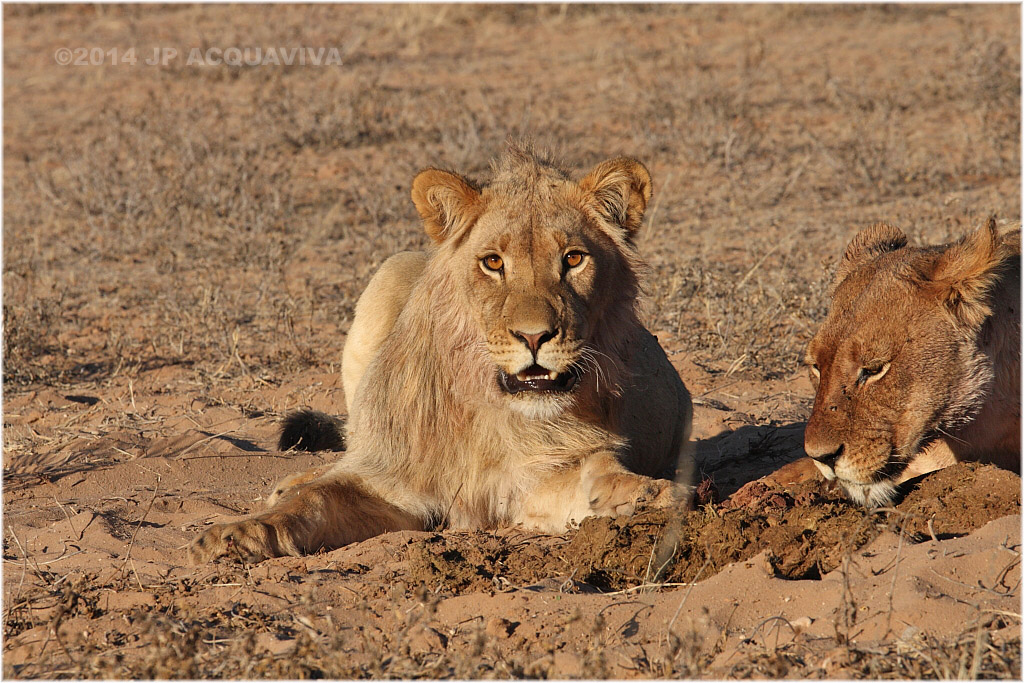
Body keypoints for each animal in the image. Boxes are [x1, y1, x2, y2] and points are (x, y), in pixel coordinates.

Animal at [188, 145, 692, 565]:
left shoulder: (537, 481)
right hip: (388, 273)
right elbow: (315, 498)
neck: (492, 408)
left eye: (573, 259)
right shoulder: (396, 481)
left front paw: (644, 495)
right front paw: (236, 534)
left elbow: (597, 470)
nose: (534, 337)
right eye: (493, 263)